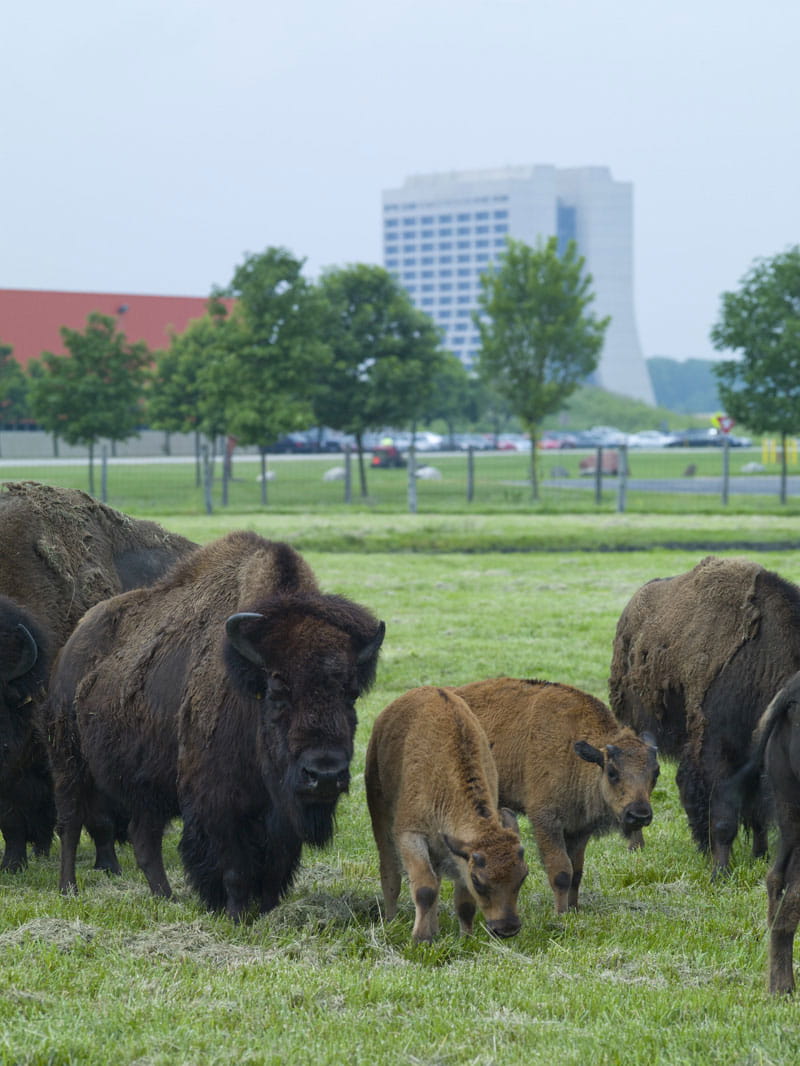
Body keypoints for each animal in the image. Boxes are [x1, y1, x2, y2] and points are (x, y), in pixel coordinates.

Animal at [44, 530, 385, 920]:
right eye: (277, 691)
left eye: (351, 692)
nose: (325, 775)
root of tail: (72, 645)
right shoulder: (220, 805)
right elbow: (234, 869)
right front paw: (235, 916)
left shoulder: (280, 818)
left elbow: (274, 870)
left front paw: (266, 913)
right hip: (69, 762)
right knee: (70, 823)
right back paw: (68, 888)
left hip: (148, 785)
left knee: (144, 840)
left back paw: (166, 898)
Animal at [609, 555, 800, 873]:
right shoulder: (717, 751)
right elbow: (724, 817)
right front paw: (720, 873)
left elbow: (756, 812)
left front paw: (758, 856)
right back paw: (637, 846)